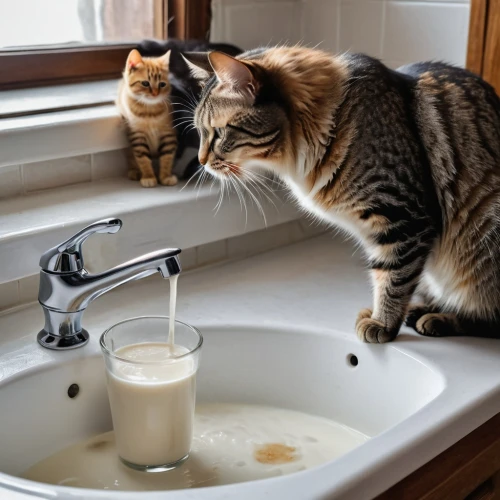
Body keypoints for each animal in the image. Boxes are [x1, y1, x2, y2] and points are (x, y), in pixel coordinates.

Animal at [182, 47, 500, 342]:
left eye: (218, 133)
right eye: (199, 132)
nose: (201, 161)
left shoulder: (406, 217)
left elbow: (394, 276)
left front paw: (383, 322)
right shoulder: (380, 231)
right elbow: (384, 273)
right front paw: (383, 314)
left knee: (487, 320)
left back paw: (439, 318)